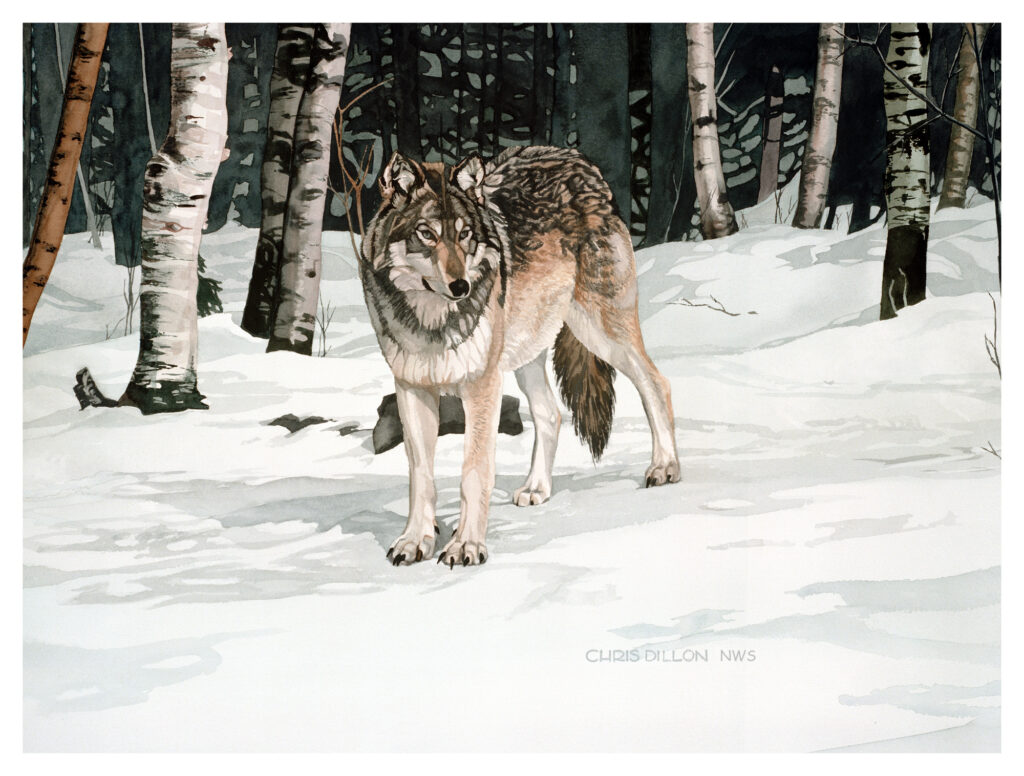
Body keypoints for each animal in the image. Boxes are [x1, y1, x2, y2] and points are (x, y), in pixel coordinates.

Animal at [359, 145, 680, 567]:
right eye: (427, 234)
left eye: (465, 234)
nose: (461, 286)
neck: (430, 321)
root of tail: (581, 164)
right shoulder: (412, 387)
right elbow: (421, 476)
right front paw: (415, 542)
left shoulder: (482, 385)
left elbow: (474, 471)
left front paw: (466, 546)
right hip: (527, 356)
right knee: (551, 412)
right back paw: (537, 488)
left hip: (603, 334)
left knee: (656, 383)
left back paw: (665, 467)